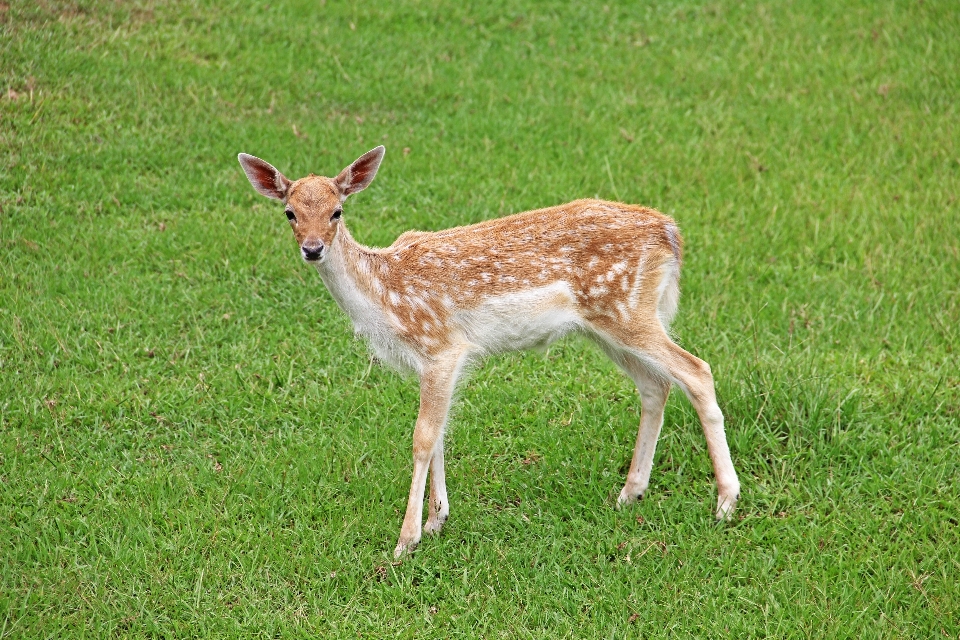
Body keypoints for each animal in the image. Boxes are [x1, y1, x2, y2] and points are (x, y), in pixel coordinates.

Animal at [238, 145, 744, 556]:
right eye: (289, 212)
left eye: (338, 211)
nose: (313, 249)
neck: (385, 297)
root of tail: (671, 233)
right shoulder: (435, 361)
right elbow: (440, 433)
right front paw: (437, 520)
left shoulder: (442, 346)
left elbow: (422, 436)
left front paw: (406, 540)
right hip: (608, 324)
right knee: (655, 384)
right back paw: (629, 493)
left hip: (627, 311)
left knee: (697, 370)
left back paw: (725, 501)